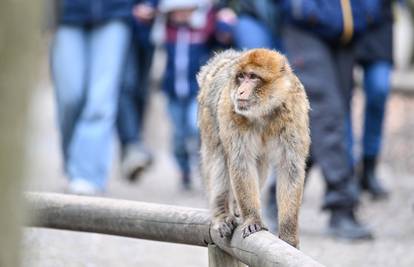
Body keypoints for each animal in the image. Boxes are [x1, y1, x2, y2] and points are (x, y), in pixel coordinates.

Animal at [197, 48, 310, 249]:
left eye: (253, 77)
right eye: (241, 77)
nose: (241, 90)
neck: (264, 111)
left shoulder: (294, 112)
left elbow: (290, 168)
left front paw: (288, 235)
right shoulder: (230, 111)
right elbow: (240, 162)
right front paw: (252, 219)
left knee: (260, 164)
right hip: (209, 117)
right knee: (218, 156)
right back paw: (222, 214)